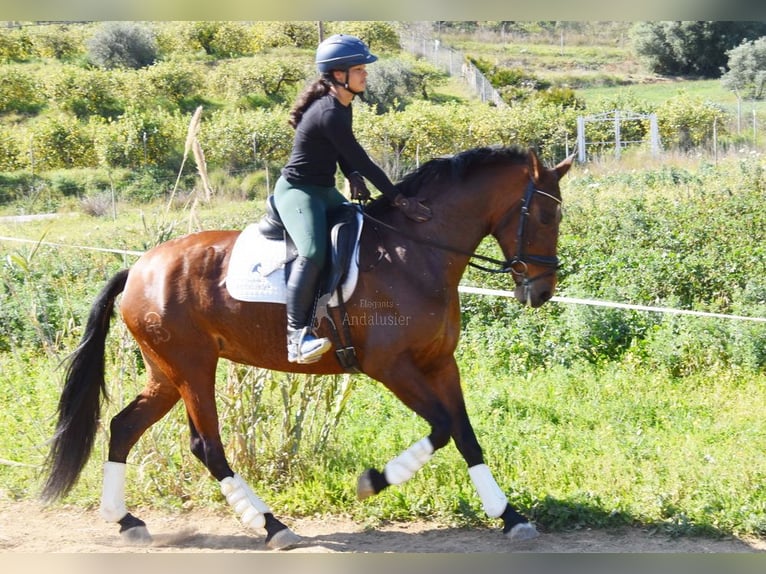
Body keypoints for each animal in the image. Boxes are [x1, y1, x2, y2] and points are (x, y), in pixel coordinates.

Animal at [40, 146, 568, 552]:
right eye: (546, 214)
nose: (542, 291)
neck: (416, 252)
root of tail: (138, 267)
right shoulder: (391, 367)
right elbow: (440, 428)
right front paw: (376, 480)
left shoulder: (439, 363)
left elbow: (464, 434)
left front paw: (510, 515)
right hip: (192, 368)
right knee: (207, 446)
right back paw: (272, 526)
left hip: (166, 373)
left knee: (123, 427)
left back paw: (126, 520)